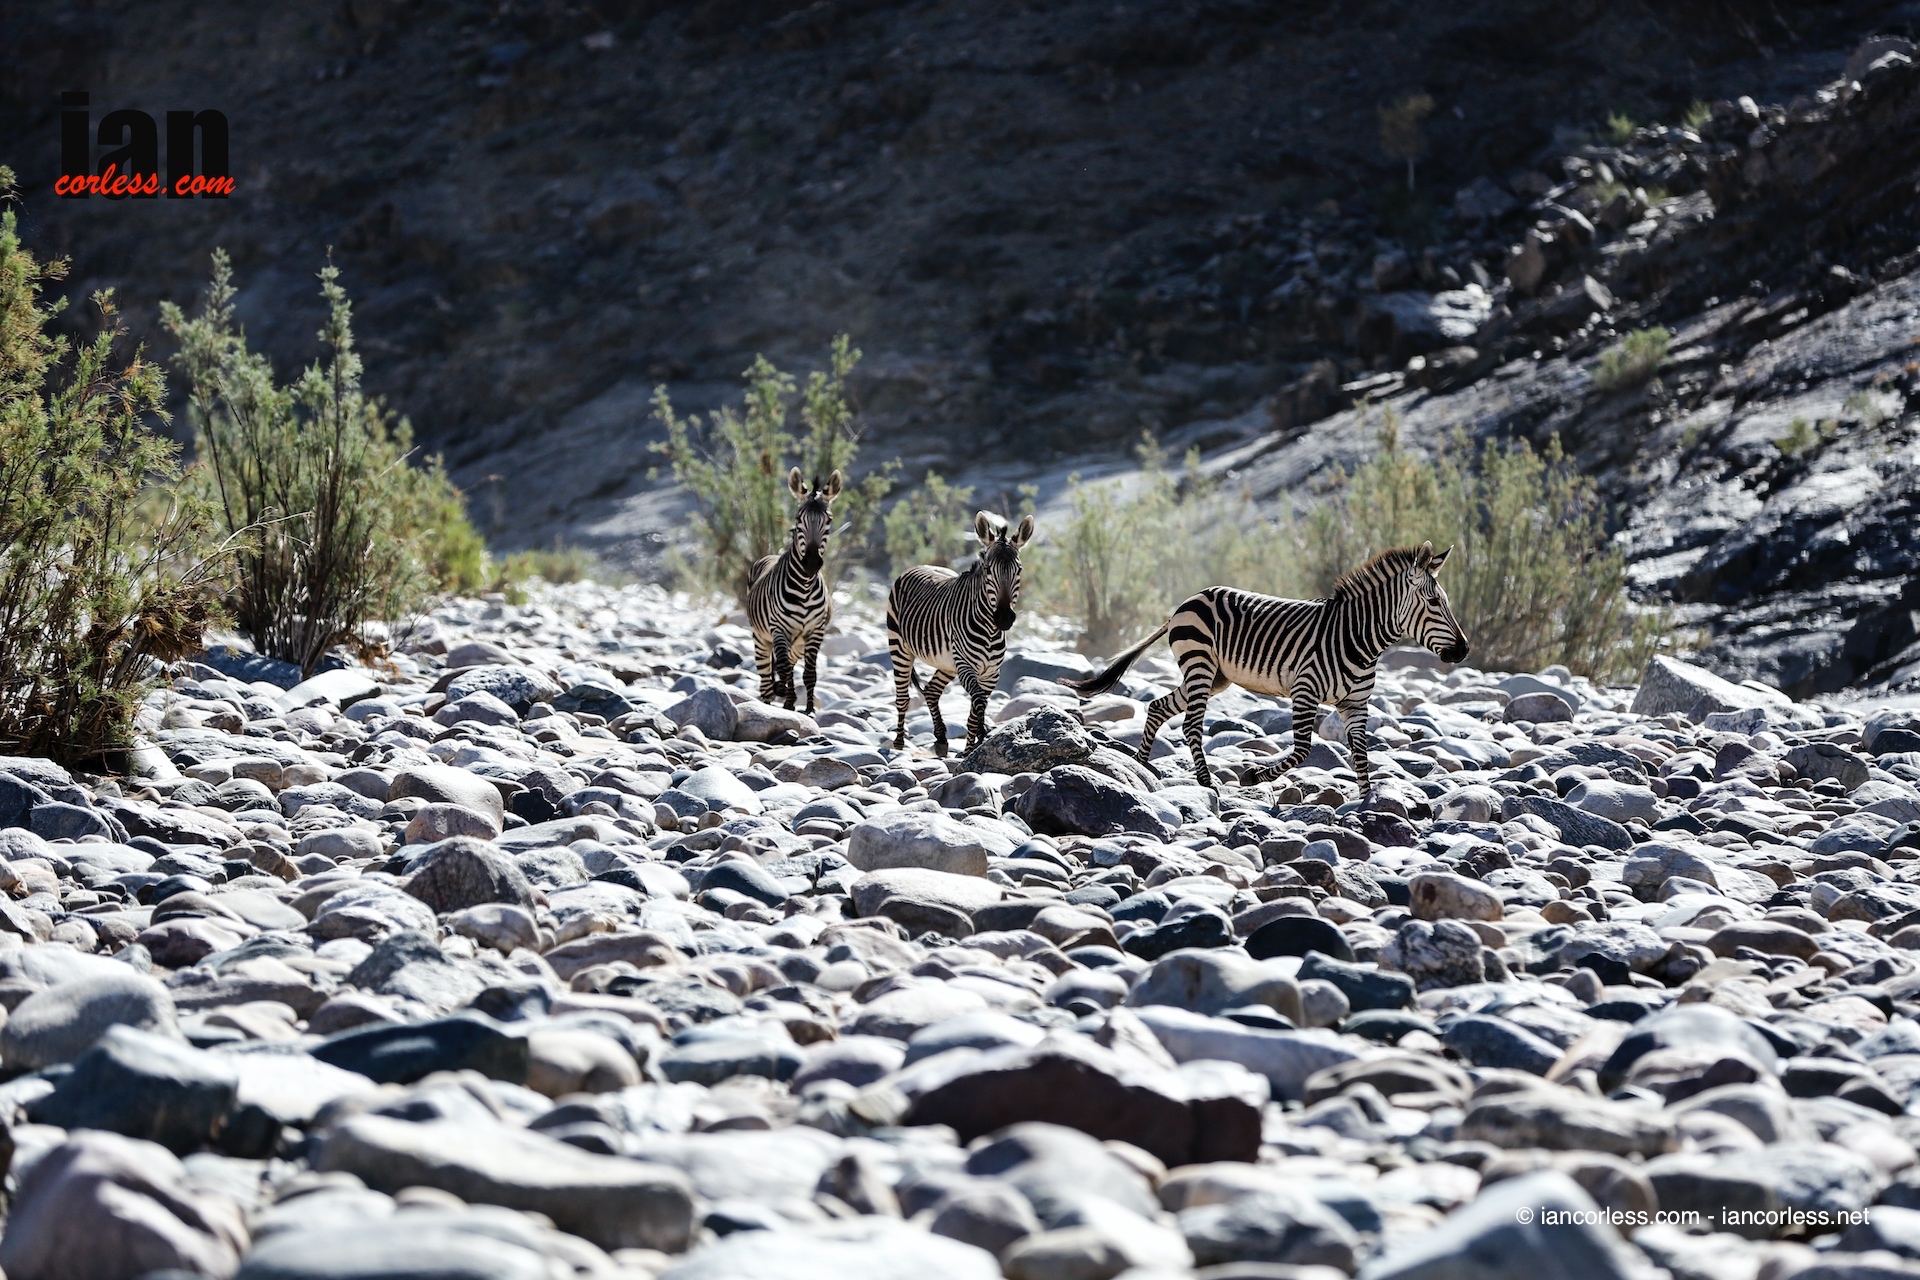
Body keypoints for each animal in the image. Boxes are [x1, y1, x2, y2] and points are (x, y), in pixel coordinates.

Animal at [744, 468, 844, 717]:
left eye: (829, 520)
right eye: (799, 519)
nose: (811, 563)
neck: (805, 586)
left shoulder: (816, 631)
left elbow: (809, 673)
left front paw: (808, 708)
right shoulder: (779, 629)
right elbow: (782, 667)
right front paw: (787, 701)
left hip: (797, 643)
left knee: (789, 663)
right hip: (761, 638)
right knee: (767, 675)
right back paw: (771, 700)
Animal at [887, 506, 1036, 756]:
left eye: (1019, 570)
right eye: (987, 570)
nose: (1004, 618)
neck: (990, 631)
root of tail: (917, 566)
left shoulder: (991, 673)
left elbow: (978, 707)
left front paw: (978, 742)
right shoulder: (967, 666)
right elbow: (978, 704)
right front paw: (969, 750)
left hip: (948, 663)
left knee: (931, 691)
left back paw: (940, 737)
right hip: (899, 647)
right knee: (902, 697)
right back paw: (898, 743)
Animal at [1067, 541, 1466, 790]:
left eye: (1446, 601)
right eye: (1434, 602)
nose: (1462, 651)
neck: (1360, 639)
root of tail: (1187, 601)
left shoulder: (1356, 704)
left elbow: (1362, 755)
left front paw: (1366, 802)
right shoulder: (1305, 691)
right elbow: (1303, 750)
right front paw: (1254, 777)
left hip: (1215, 677)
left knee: (1157, 706)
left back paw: (1142, 765)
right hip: (1200, 665)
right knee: (1191, 725)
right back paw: (1205, 782)